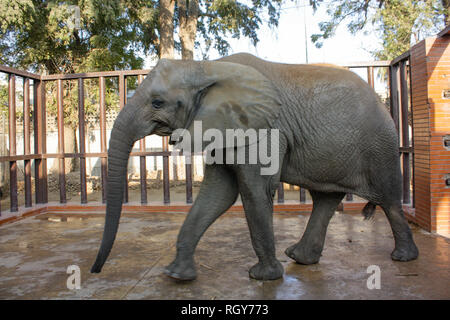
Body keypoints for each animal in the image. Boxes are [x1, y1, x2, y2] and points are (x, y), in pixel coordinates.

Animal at [90, 53, 418, 282]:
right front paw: (176, 275)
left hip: (380, 146)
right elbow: (218, 194)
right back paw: (300, 258)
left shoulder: (263, 130)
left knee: (389, 200)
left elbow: (253, 190)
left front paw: (263, 277)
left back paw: (404, 258)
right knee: (325, 200)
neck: (206, 66)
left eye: (157, 103)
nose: (95, 270)